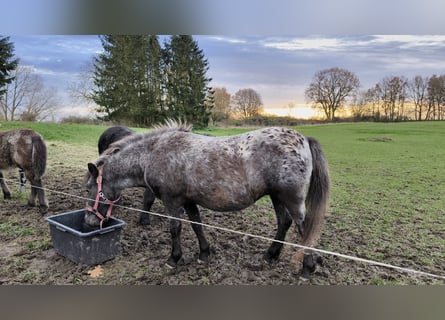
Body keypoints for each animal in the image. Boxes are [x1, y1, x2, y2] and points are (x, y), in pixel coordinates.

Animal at [86, 121, 330, 276]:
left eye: (90, 189)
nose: (89, 222)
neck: (154, 153)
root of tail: (303, 139)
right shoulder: (188, 201)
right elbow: (197, 225)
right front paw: (204, 253)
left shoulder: (172, 201)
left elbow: (175, 228)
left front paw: (173, 259)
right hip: (277, 197)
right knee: (284, 222)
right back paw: (270, 256)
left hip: (291, 199)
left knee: (304, 230)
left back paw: (307, 268)